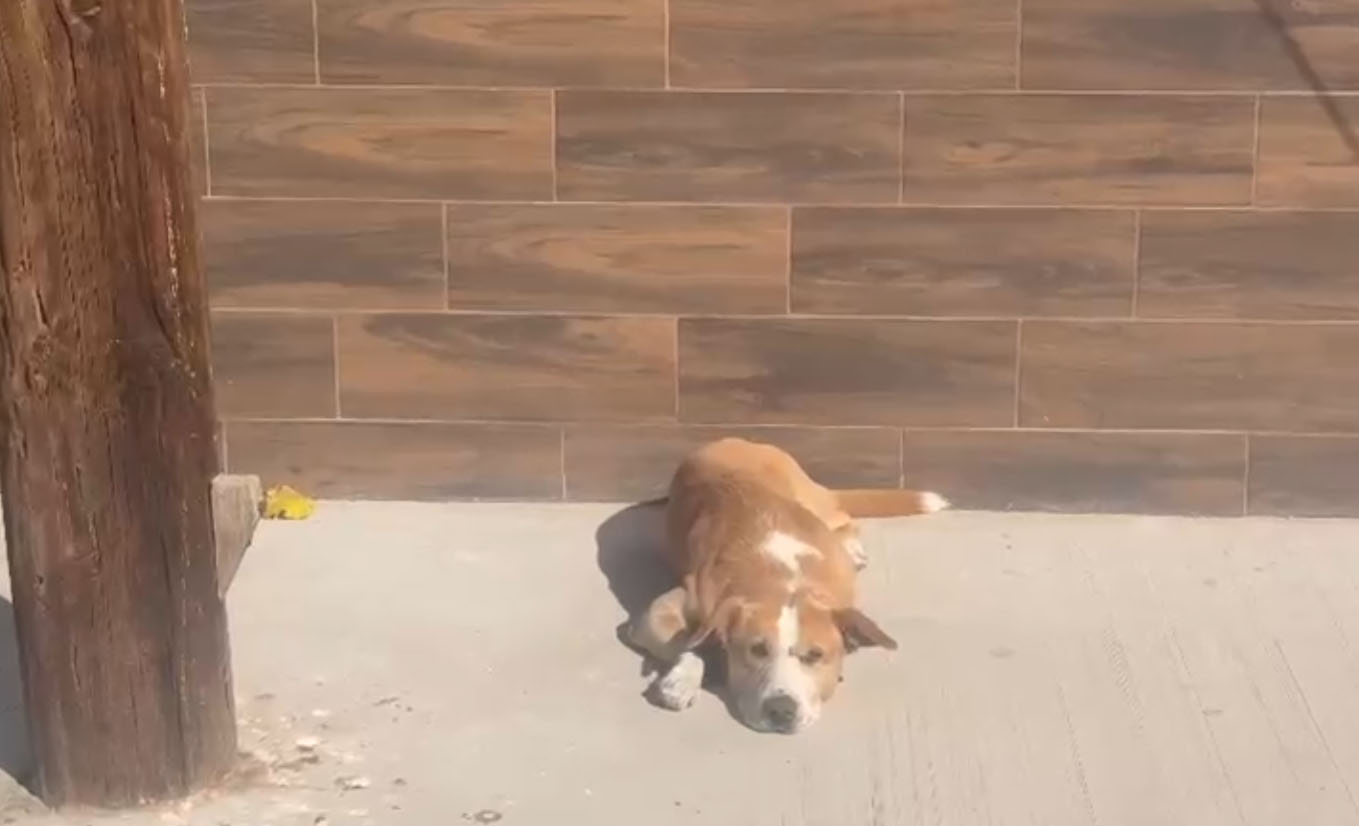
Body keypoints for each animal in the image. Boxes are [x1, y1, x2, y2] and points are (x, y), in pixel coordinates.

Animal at [625, 437, 948, 734]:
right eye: (757, 650)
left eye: (815, 655)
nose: (781, 709)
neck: (783, 579)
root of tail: (729, 440)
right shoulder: (665, 610)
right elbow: (689, 639)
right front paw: (684, 677)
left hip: (814, 501)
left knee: (844, 517)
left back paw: (852, 546)